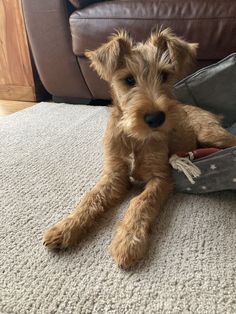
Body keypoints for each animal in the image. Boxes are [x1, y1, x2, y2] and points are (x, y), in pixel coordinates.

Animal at [42, 28, 236, 268]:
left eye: (164, 75)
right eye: (128, 79)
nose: (156, 118)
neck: (134, 137)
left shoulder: (161, 177)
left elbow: (141, 202)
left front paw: (129, 241)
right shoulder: (115, 174)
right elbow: (91, 198)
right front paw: (66, 227)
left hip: (211, 135)